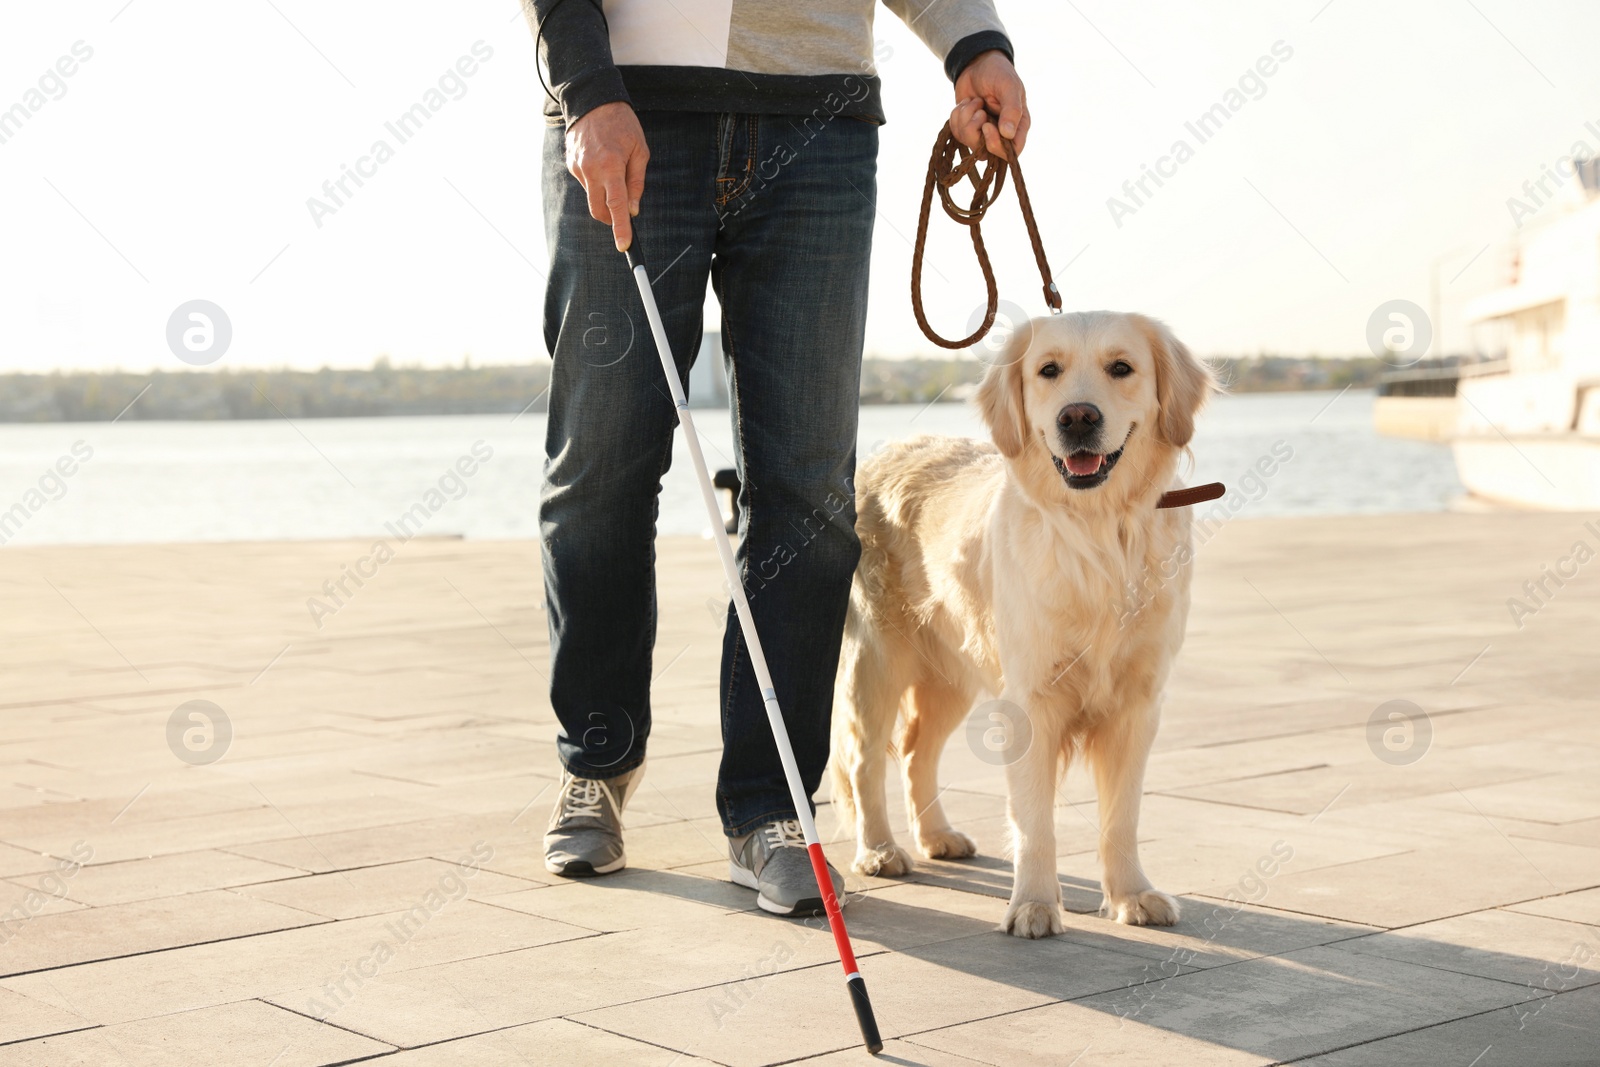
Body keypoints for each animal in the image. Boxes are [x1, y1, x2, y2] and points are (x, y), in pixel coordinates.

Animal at [832, 313, 1203, 940]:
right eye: (1047, 370)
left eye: (1121, 367)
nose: (1077, 417)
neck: (1099, 532)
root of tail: (887, 451)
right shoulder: (1031, 699)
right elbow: (1034, 820)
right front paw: (1032, 904)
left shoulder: (1138, 704)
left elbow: (1122, 816)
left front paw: (1132, 895)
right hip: (879, 658)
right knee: (867, 758)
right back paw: (880, 851)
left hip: (953, 672)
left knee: (916, 752)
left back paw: (937, 837)